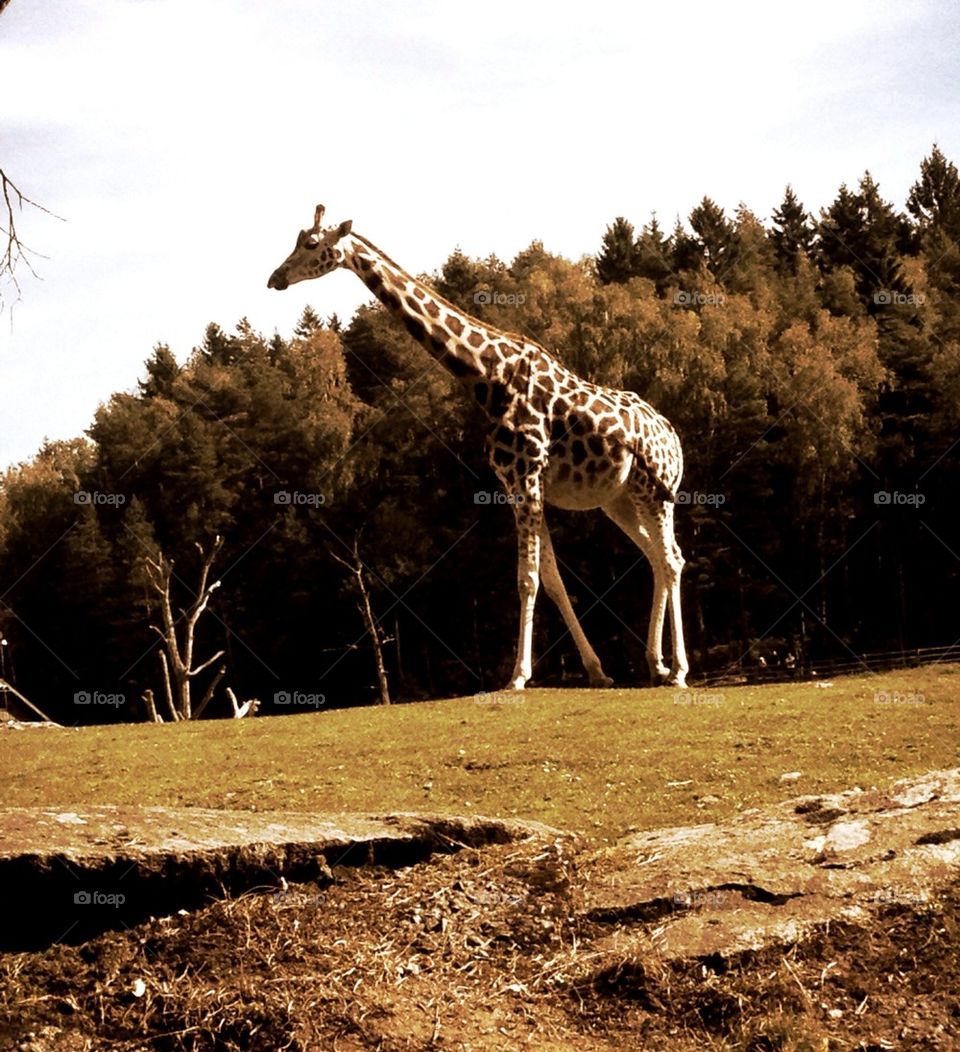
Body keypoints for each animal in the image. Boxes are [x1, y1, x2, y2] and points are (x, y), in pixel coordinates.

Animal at [268, 206, 688, 690]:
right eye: (296, 239)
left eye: (312, 244)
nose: (275, 278)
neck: (487, 378)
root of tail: (673, 436)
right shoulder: (516, 483)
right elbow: (551, 579)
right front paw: (597, 672)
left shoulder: (527, 476)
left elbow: (527, 579)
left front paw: (518, 677)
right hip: (618, 499)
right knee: (656, 557)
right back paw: (656, 664)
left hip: (656, 492)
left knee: (672, 559)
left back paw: (678, 670)